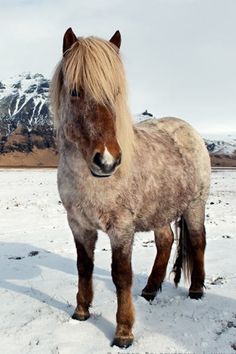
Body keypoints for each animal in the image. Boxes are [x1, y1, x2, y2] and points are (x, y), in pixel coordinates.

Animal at [50, 27, 211, 348]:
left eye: (115, 92)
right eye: (75, 92)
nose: (107, 160)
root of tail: (190, 129)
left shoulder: (121, 227)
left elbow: (121, 275)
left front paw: (123, 332)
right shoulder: (77, 224)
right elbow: (84, 266)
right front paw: (81, 311)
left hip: (195, 205)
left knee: (198, 241)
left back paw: (196, 290)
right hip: (161, 210)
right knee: (166, 241)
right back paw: (150, 290)